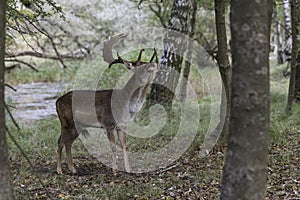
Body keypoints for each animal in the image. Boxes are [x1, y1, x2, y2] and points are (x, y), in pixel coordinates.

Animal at [56, 34, 159, 175]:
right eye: (138, 65)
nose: (152, 64)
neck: (124, 104)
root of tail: (57, 101)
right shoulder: (108, 123)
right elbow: (113, 147)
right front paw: (115, 171)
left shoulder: (122, 125)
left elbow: (124, 146)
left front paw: (128, 170)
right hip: (66, 122)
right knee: (60, 142)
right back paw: (60, 170)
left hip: (76, 126)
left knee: (67, 142)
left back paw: (73, 169)